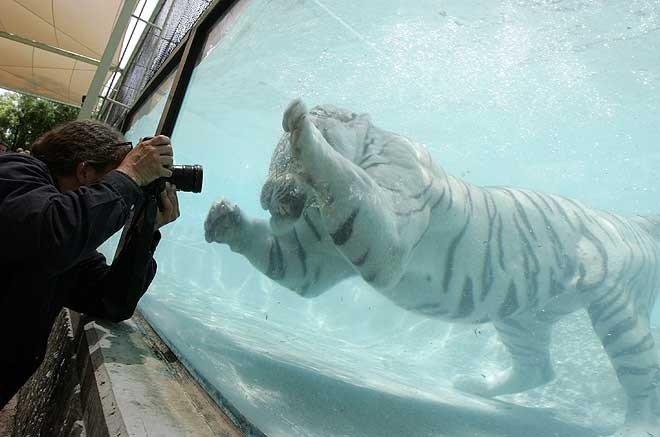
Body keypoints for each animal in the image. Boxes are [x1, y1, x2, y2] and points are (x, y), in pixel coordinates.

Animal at [204, 98, 660, 437]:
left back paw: (633, 428)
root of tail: (638, 221)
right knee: (538, 367)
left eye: (283, 157)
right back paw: (474, 385)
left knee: (643, 381)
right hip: (521, 315)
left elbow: (343, 175)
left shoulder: (386, 229)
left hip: (617, 312)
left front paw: (304, 126)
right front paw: (223, 218)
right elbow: (284, 258)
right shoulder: (313, 257)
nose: (266, 194)